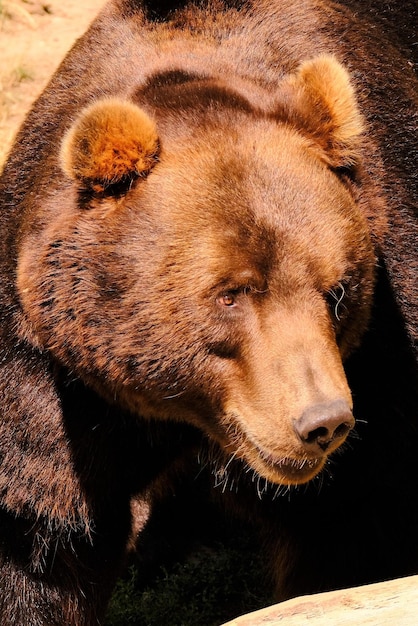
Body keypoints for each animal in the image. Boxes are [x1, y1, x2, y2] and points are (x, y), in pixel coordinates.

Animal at [0, 0, 416, 620]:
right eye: (230, 293)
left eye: (338, 289)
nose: (322, 422)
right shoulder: (57, 376)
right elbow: (39, 536)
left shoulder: (382, 348)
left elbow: (357, 520)